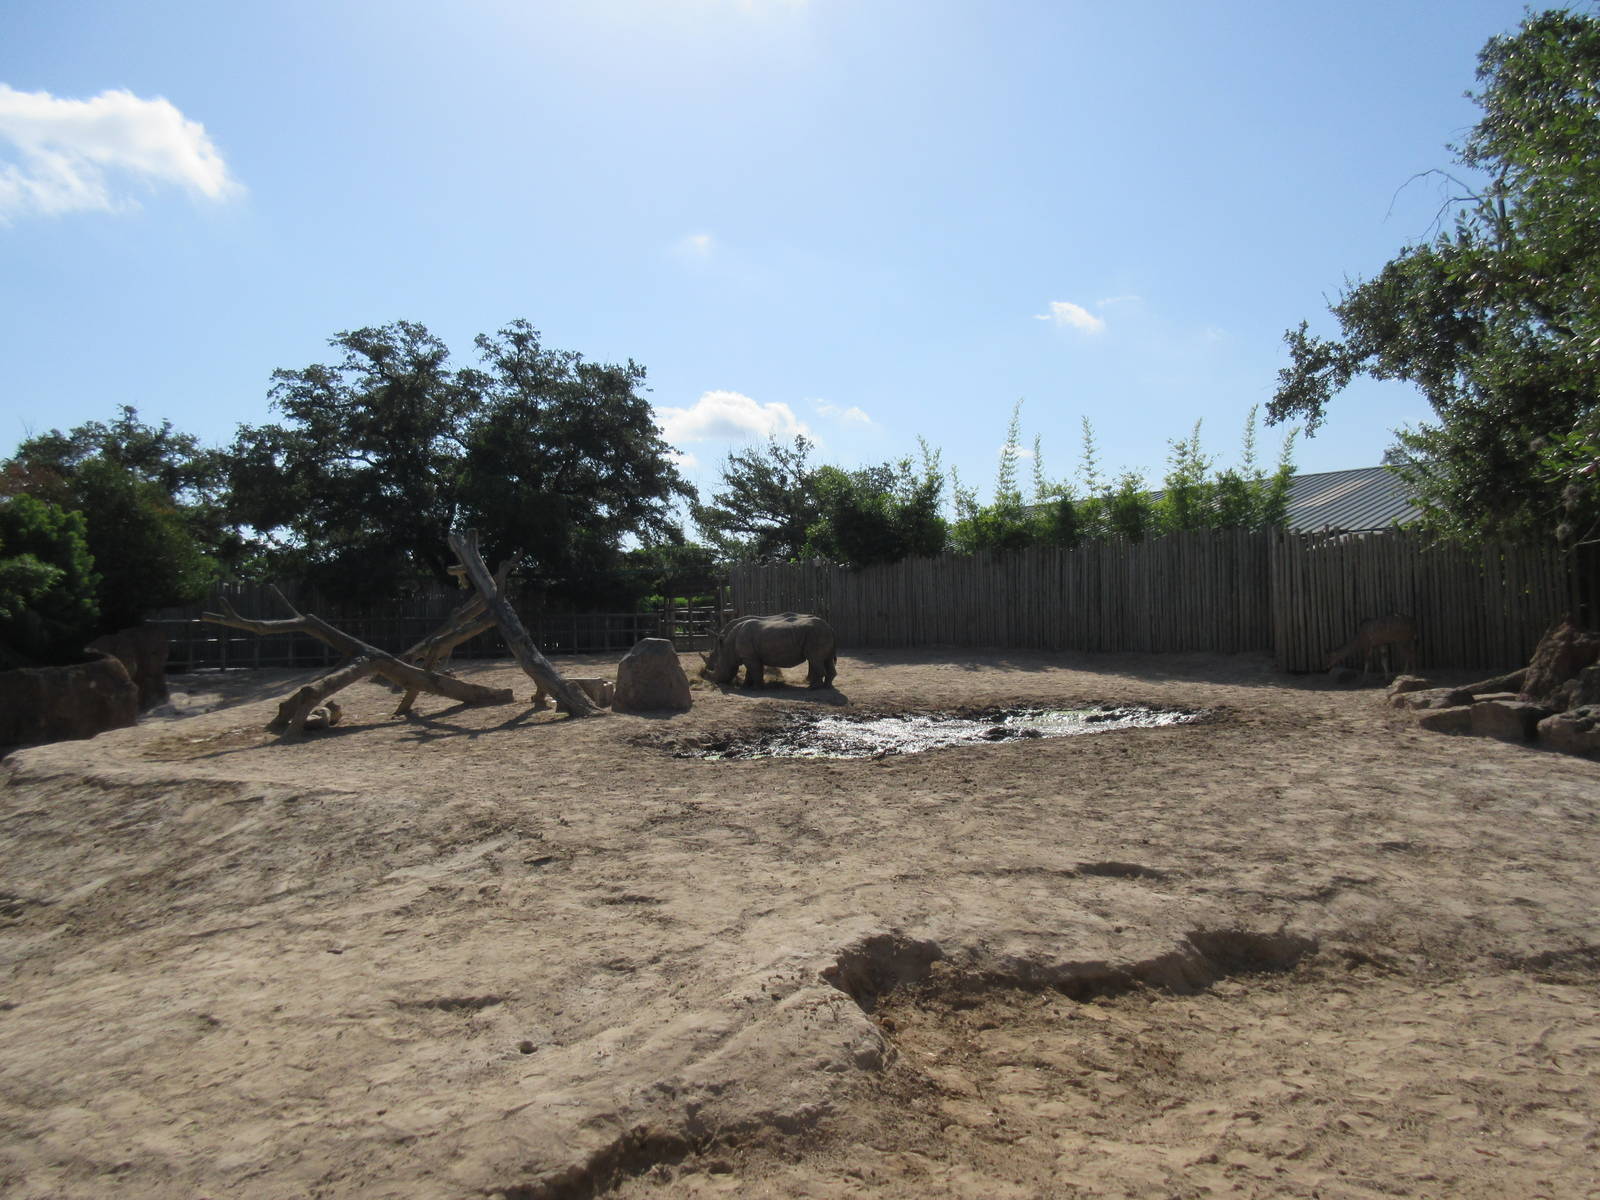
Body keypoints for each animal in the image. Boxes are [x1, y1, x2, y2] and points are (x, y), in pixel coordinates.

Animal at [702, 612, 837, 690]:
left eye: (718, 667)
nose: (717, 682)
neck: (728, 647)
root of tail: (830, 627)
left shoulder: (749, 656)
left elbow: (755, 671)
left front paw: (757, 688)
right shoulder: (751, 656)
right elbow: (751, 671)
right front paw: (746, 686)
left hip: (816, 634)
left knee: (815, 659)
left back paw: (813, 688)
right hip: (820, 633)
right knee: (825, 659)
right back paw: (827, 686)